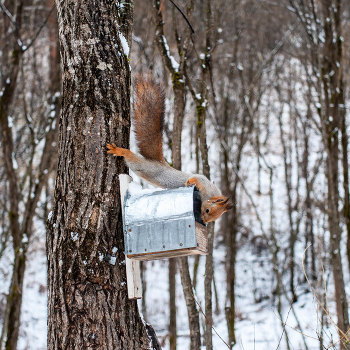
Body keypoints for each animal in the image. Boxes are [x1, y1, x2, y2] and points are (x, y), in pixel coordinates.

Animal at [106, 75, 232, 223]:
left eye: (212, 218)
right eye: (208, 210)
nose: (202, 221)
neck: (209, 194)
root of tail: (159, 163)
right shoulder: (204, 182)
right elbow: (197, 177)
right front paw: (190, 181)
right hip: (145, 167)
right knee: (131, 158)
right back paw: (120, 151)